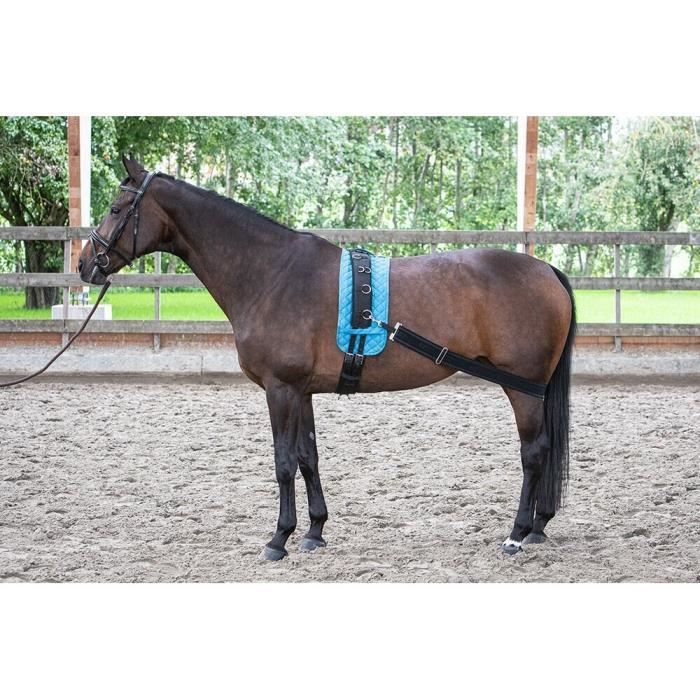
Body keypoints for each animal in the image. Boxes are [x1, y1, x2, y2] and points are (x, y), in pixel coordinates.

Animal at [78, 156, 576, 560]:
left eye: (117, 208)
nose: (86, 264)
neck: (272, 273)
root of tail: (546, 269)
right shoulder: (302, 391)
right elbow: (307, 457)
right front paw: (314, 531)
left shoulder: (280, 389)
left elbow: (283, 462)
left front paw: (279, 538)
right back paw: (538, 526)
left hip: (522, 387)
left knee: (534, 453)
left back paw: (517, 533)